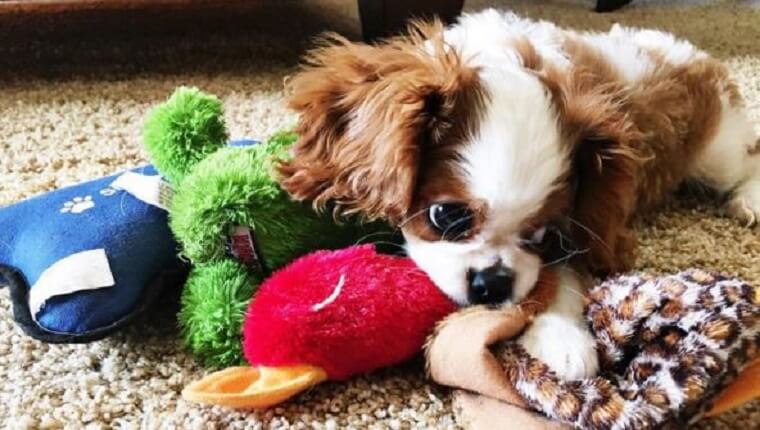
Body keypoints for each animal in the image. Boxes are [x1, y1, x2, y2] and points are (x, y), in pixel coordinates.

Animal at [276, 9, 756, 380]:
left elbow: (564, 274)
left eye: (544, 235)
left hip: (716, 153)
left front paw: (562, 337)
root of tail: (692, 53)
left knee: (747, 157)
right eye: (445, 216)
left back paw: (748, 199)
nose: (493, 283)